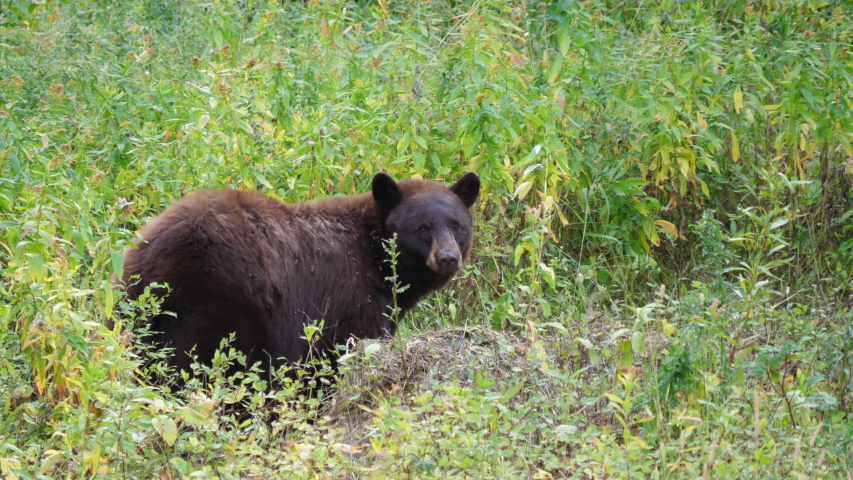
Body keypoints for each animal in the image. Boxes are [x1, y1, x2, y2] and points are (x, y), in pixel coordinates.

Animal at [119, 172, 480, 382]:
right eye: (422, 228)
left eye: (457, 224)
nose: (448, 258)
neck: (372, 254)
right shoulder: (348, 304)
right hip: (222, 304)